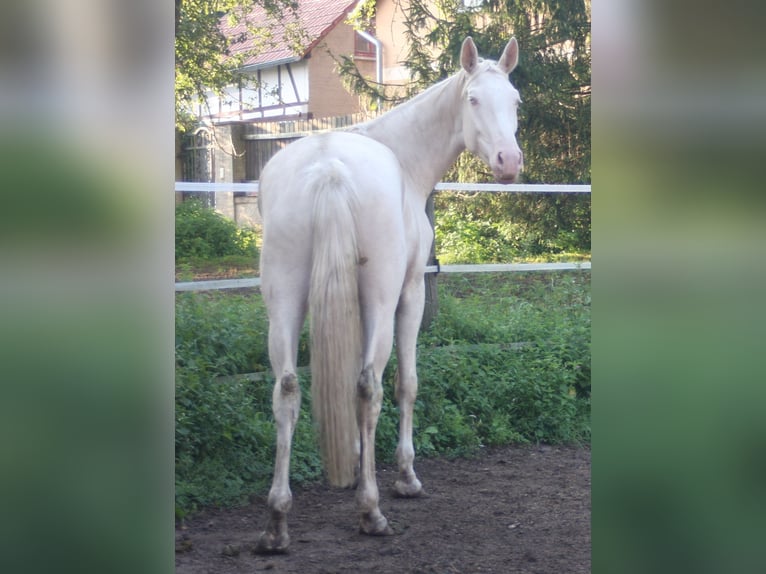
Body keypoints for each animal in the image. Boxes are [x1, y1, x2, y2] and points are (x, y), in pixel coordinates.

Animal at [255, 35, 524, 552]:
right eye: (473, 99)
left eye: (515, 101)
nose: (509, 162)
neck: (402, 155)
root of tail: (329, 168)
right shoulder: (410, 292)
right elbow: (406, 383)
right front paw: (404, 477)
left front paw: (358, 460)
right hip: (381, 298)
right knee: (368, 387)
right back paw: (371, 511)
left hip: (284, 303)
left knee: (287, 389)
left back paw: (277, 521)